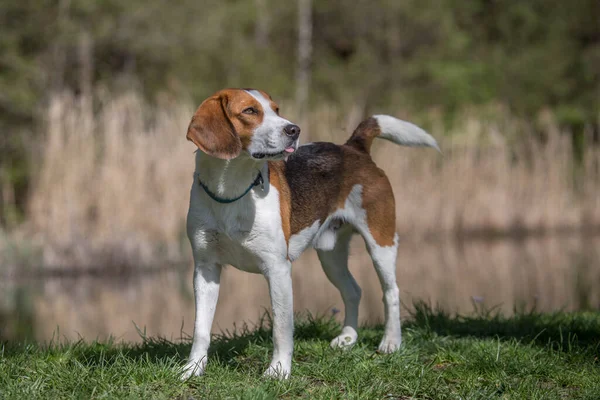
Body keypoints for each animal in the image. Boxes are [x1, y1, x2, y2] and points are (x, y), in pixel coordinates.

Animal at [180, 87, 438, 378]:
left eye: (276, 109)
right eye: (250, 111)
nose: (294, 129)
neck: (231, 189)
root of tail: (353, 147)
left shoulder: (278, 269)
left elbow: (281, 329)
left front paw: (278, 371)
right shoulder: (206, 269)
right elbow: (201, 329)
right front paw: (193, 368)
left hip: (380, 243)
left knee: (391, 292)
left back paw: (391, 342)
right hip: (331, 255)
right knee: (353, 290)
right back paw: (348, 338)